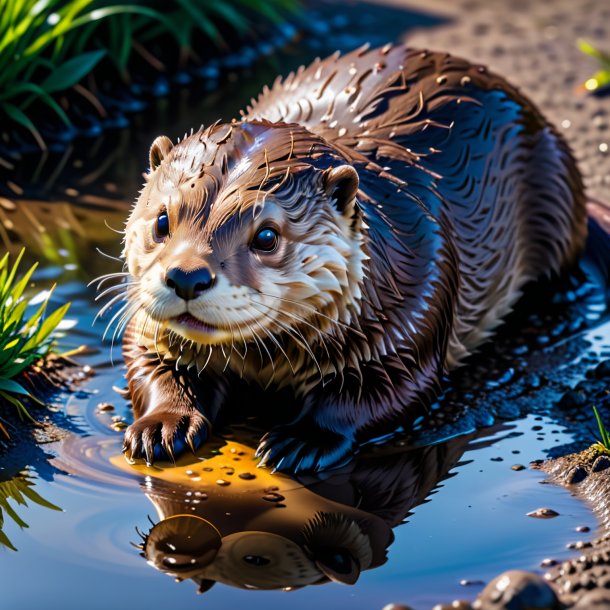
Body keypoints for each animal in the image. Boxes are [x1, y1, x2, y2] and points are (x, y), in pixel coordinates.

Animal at [116, 44, 588, 470]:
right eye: (162, 221)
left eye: (266, 236)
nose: (186, 277)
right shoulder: (147, 326)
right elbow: (150, 361)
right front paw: (163, 424)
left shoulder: (414, 315)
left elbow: (378, 394)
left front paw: (303, 441)